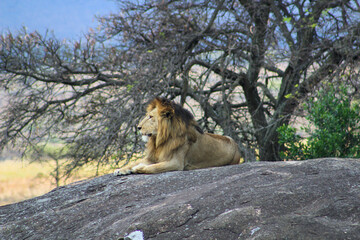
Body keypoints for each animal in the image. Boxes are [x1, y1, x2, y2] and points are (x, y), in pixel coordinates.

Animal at [114, 96, 243, 175]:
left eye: (150, 117)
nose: (138, 127)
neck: (160, 140)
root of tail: (235, 144)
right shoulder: (152, 157)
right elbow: (134, 162)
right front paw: (120, 169)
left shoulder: (176, 163)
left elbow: (153, 167)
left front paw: (137, 168)